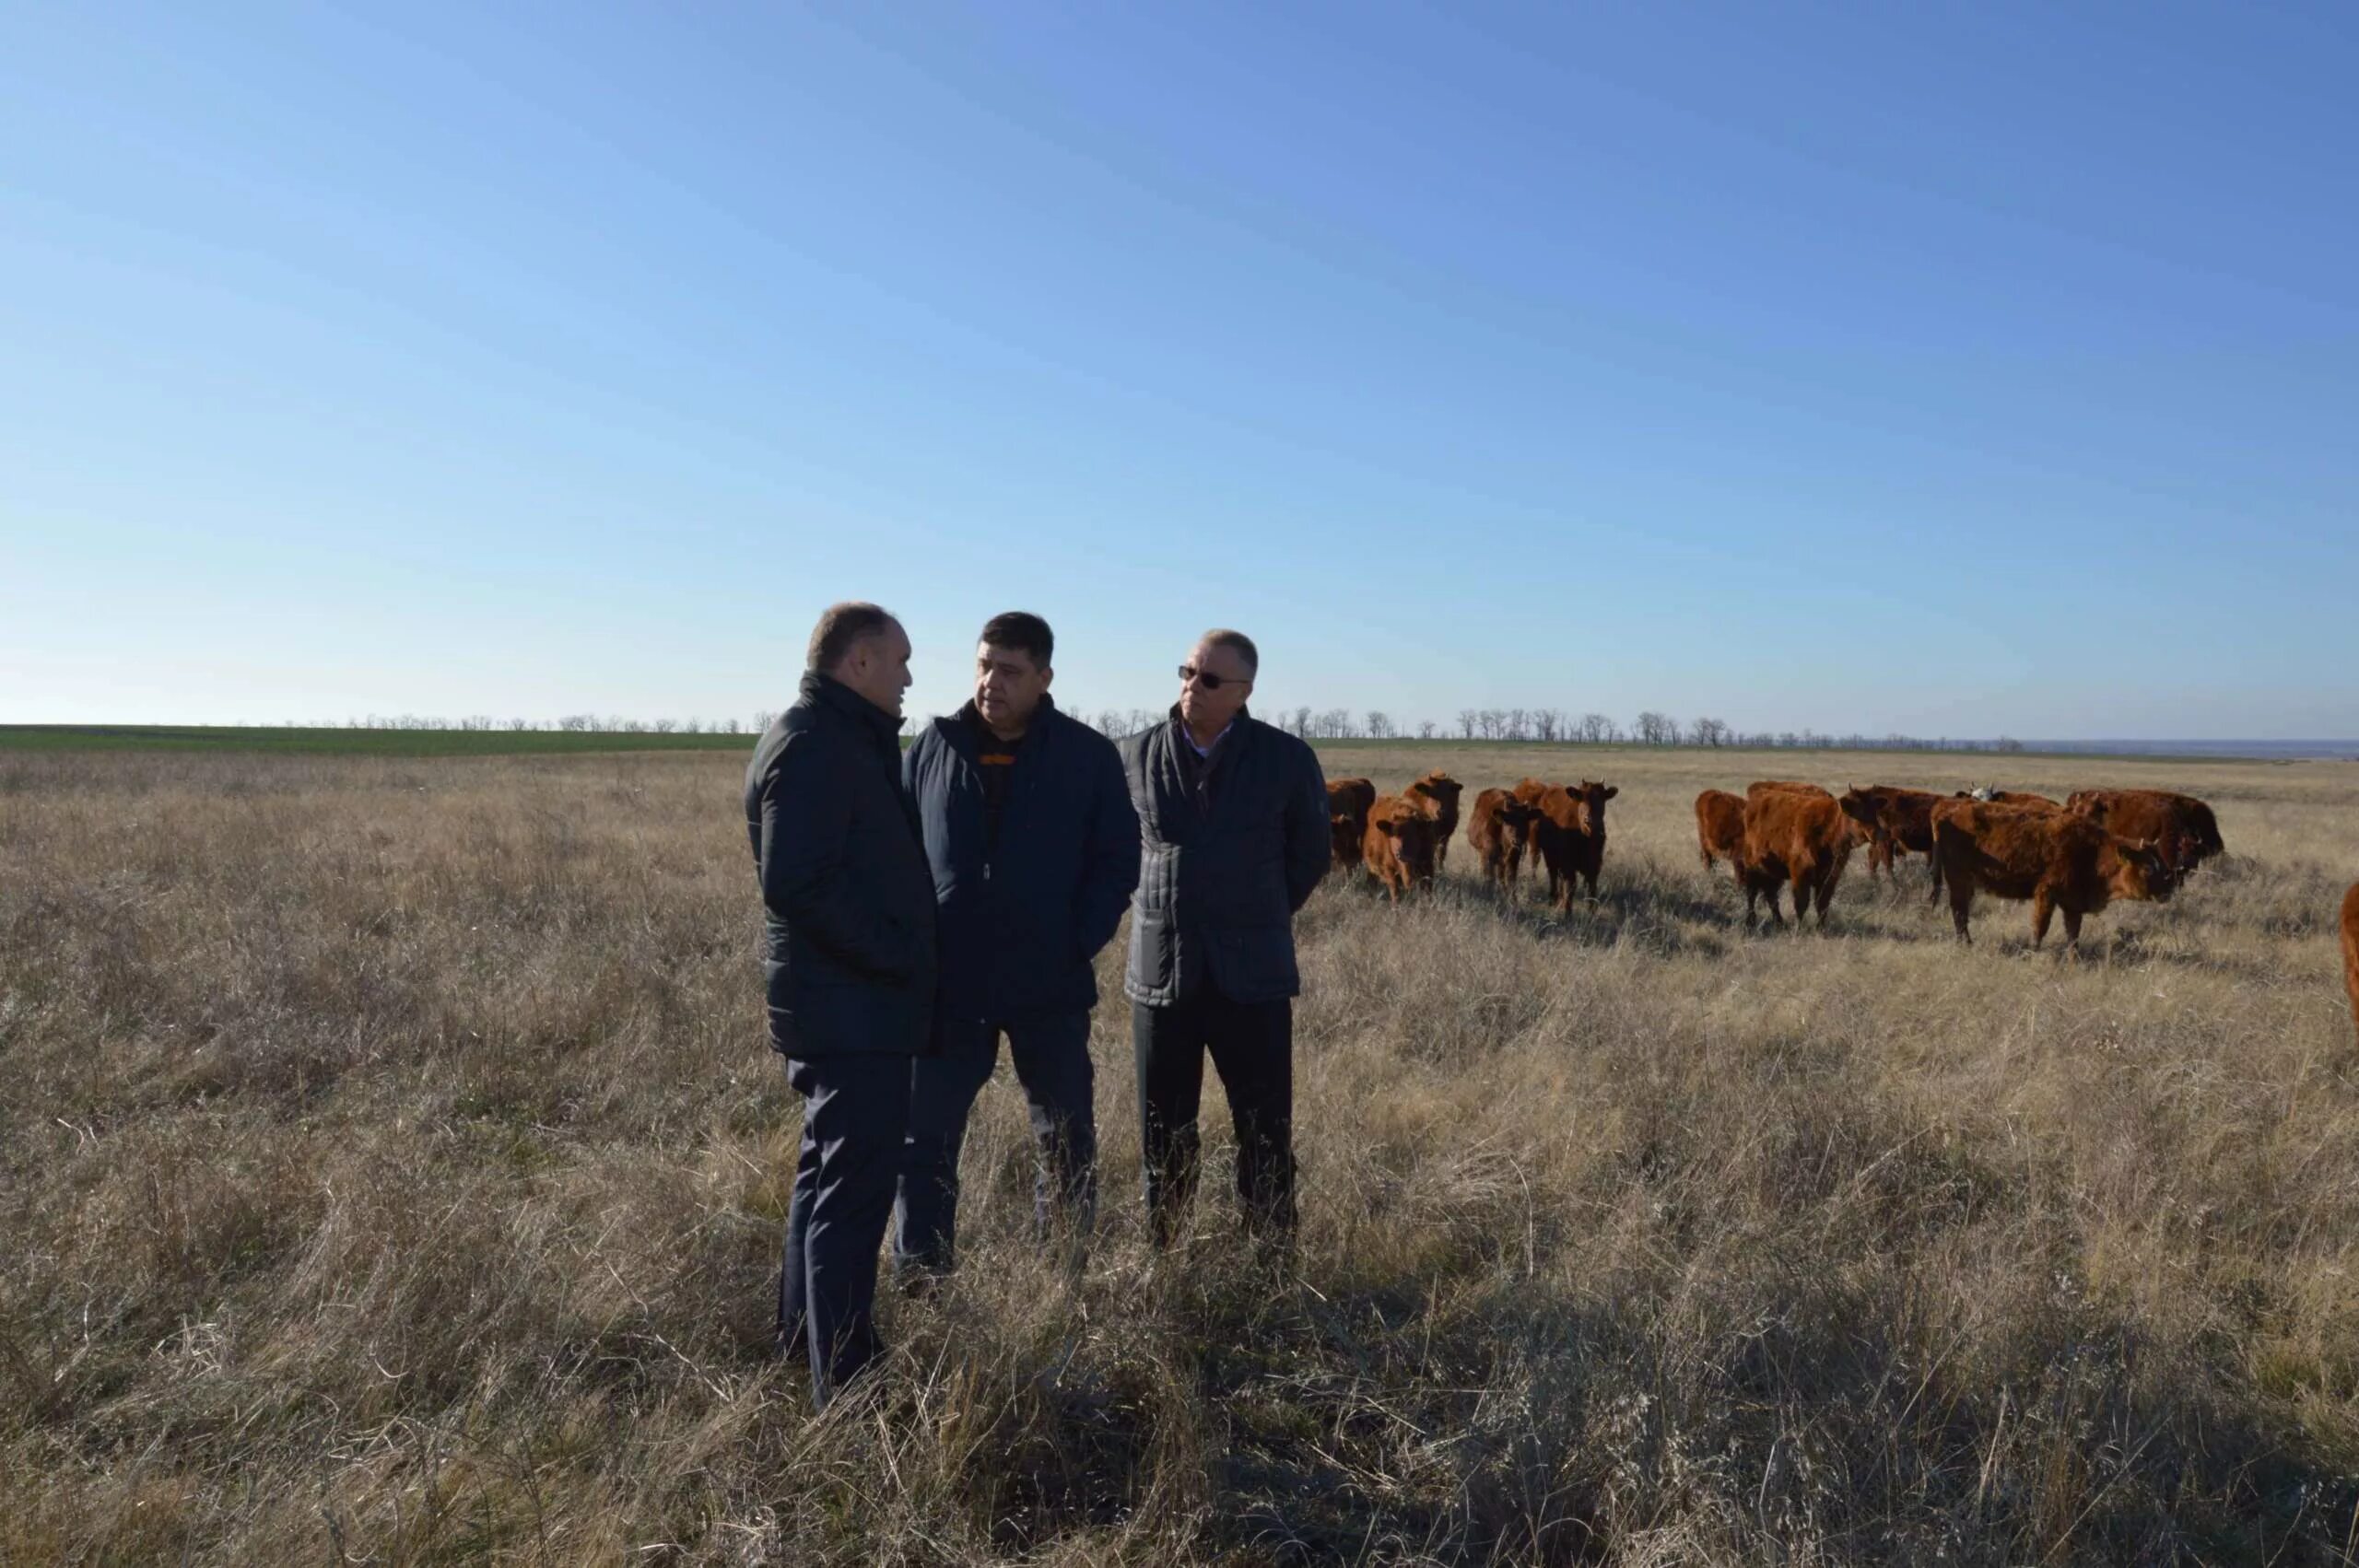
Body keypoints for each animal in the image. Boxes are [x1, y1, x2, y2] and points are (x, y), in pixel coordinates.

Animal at [1528, 778, 1623, 905]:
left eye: (1602, 799)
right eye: (1581, 798)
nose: (1589, 820)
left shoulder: (1594, 867)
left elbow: (1591, 893)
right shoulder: (1569, 867)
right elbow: (1569, 891)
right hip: (1540, 849)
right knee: (1545, 868)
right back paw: (1552, 897)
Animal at [1745, 787, 1849, 924]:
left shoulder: (1830, 877)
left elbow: (1822, 904)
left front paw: (1820, 926)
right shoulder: (1800, 873)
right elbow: (1802, 903)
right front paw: (1799, 926)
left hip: (1770, 871)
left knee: (1769, 895)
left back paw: (1779, 921)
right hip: (1754, 867)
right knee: (1753, 893)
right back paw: (1751, 921)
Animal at [1924, 802, 2179, 947]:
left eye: (2163, 865)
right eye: (2148, 868)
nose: (2168, 891)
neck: (2093, 850)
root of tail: (1945, 811)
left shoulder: (2073, 902)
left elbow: (2073, 933)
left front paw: (2073, 958)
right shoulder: (2046, 894)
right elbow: (2041, 926)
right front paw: (2033, 951)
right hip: (1958, 880)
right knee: (1959, 912)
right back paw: (1966, 943)